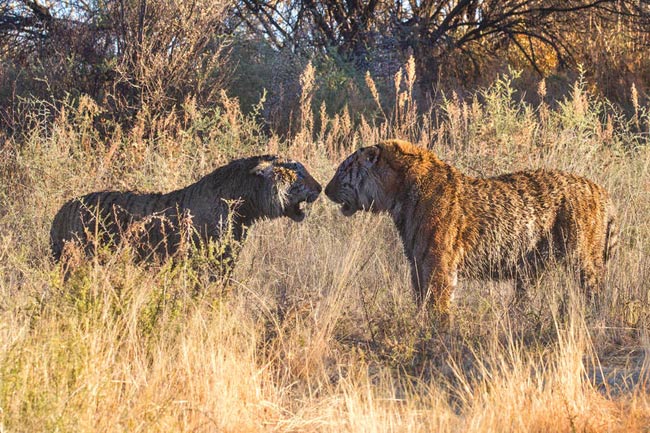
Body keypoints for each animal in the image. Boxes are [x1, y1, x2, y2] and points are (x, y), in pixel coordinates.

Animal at [325, 139, 618, 323]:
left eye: (343, 169)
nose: (326, 190)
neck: (397, 193)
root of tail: (601, 190)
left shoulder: (437, 262)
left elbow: (438, 302)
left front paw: (438, 332)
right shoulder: (417, 262)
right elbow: (420, 298)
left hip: (585, 260)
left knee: (597, 293)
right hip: (533, 268)